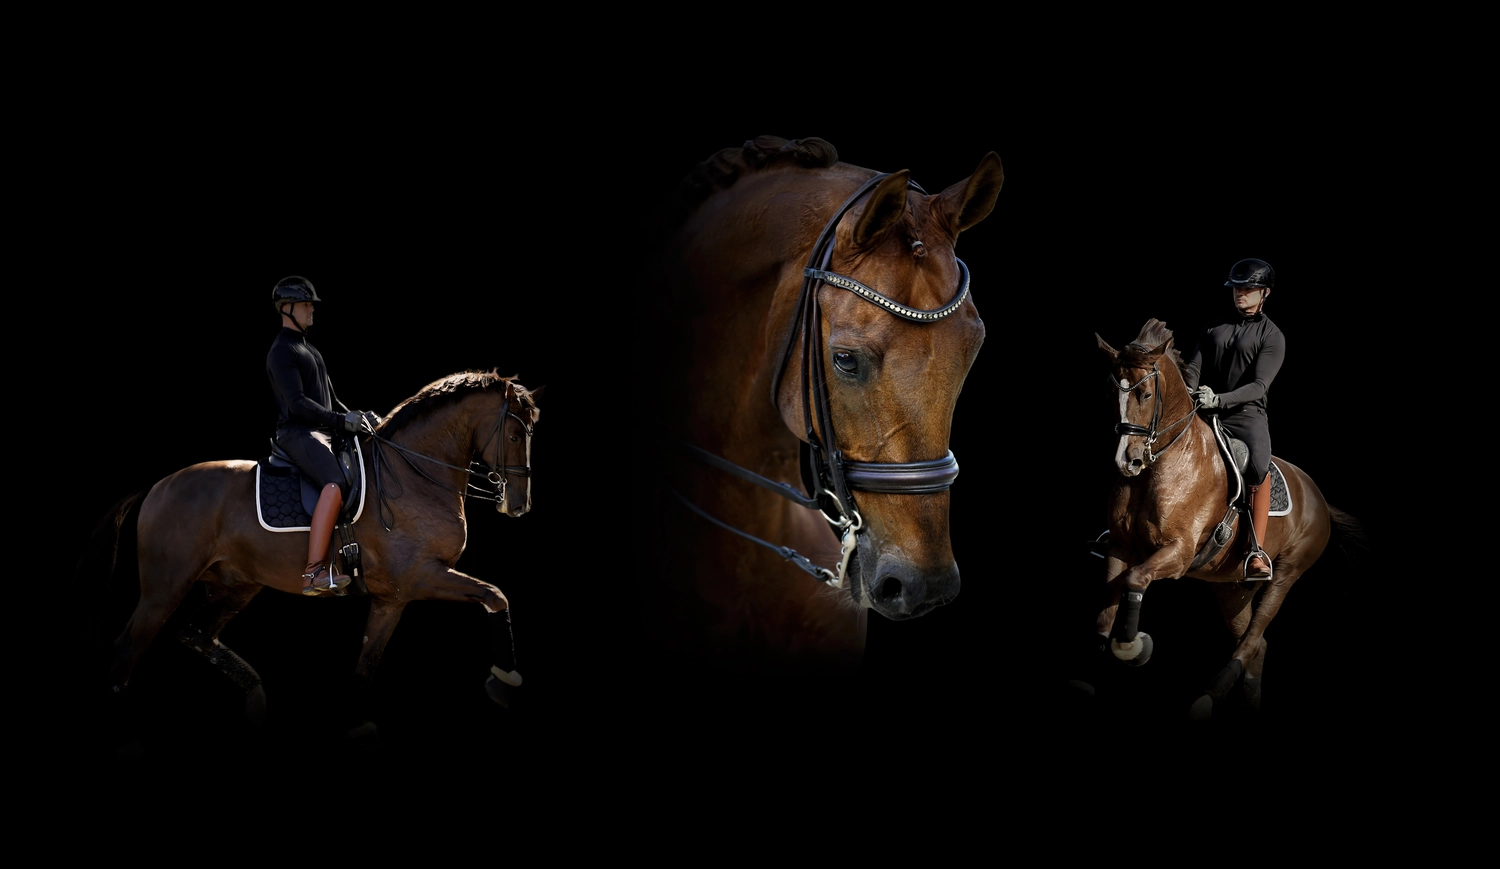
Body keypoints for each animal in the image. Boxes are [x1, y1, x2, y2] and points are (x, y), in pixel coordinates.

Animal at [89, 370, 540, 750]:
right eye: (515, 435)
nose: (518, 505)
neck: (413, 475)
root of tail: (159, 484)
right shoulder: (422, 576)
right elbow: (495, 595)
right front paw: (504, 683)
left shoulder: (392, 598)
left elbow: (366, 663)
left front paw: (353, 723)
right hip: (165, 589)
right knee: (128, 649)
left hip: (236, 585)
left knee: (197, 634)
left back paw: (256, 700)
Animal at [1089, 319, 1365, 720]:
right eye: (1111, 393)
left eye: (1145, 394)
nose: (1128, 461)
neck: (1164, 461)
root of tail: (1319, 497)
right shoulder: (1119, 548)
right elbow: (1106, 611)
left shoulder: (1179, 552)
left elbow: (1136, 578)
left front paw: (1132, 646)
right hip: (1230, 587)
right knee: (1257, 644)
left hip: (1287, 572)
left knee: (1251, 642)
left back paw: (1207, 698)